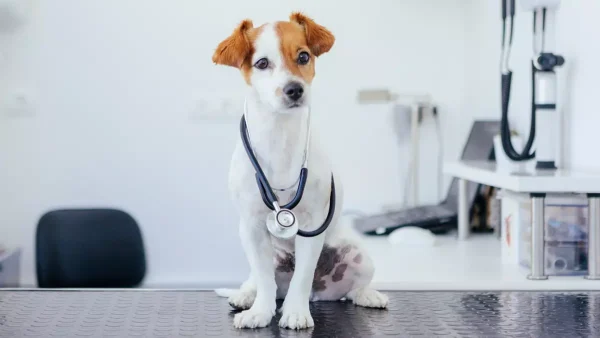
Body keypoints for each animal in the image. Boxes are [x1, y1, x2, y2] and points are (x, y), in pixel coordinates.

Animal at [212, 11, 390, 328]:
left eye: (303, 56)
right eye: (262, 63)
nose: (294, 89)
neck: (280, 135)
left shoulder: (312, 224)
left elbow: (302, 277)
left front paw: (295, 311)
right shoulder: (252, 227)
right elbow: (265, 281)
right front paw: (260, 311)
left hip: (358, 256)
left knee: (353, 288)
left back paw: (368, 295)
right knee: (257, 279)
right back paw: (245, 294)